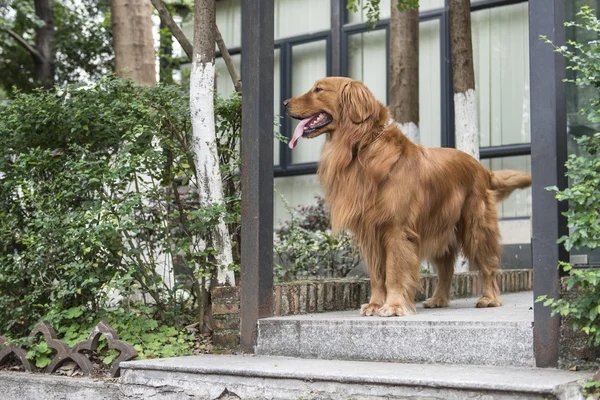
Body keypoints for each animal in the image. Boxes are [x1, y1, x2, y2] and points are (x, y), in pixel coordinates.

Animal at [284, 77, 532, 316]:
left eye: (318, 89)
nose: (285, 103)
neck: (364, 147)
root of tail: (482, 168)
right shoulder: (370, 232)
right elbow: (377, 274)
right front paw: (375, 304)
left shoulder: (397, 229)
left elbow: (394, 271)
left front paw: (393, 306)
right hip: (440, 228)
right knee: (447, 269)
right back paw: (438, 299)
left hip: (475, 227)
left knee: (488, 265)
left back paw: (490, 298)